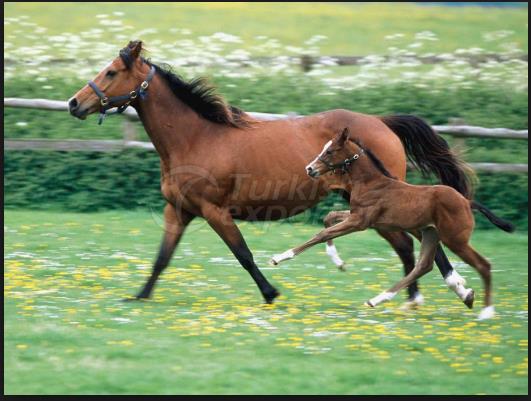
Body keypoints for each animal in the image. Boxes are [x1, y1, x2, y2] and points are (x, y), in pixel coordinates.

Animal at [66, 39, 474, 304]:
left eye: (111, 72)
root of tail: (382, 122)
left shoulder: (215, 211)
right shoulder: (178, 210)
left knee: (418, 243)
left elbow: (243, 254)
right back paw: (413, 298)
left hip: (384, 202)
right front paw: (139, 296)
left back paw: (455, 290)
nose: (73, 103)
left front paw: (271, 292)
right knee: (407, 245)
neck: (196, 138)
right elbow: (162, 257)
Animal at [270, 128, 516, 318]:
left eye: (330, 151)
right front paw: (337, 261)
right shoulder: (359, 217)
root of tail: (466, 201)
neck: (371, 182)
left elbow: (322, 234)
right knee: (423, 266)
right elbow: (328, 219)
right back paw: (378, 299)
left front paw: (279, 257)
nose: (310, 169)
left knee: (483, 265)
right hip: (430, 233)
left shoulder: (360, 221)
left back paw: (486, 312)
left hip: (455, 240)